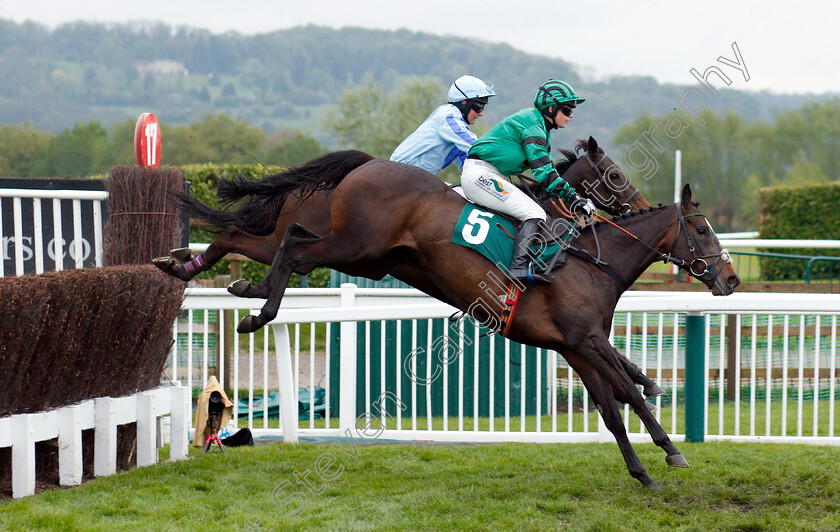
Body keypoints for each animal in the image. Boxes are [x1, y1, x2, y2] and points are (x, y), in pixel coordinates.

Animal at [154, 144, 740, 486]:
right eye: (703, 229)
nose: (731, 278)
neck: (589, 259)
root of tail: (366, 165)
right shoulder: (586, 340)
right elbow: (630, 395)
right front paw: (671, 451)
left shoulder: (575, 347)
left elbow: (614, 408)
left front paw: (643, 470)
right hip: (356, 245)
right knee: (293, 244)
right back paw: (256, 312)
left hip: (359, 251)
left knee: (246, 234)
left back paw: (198, 270)